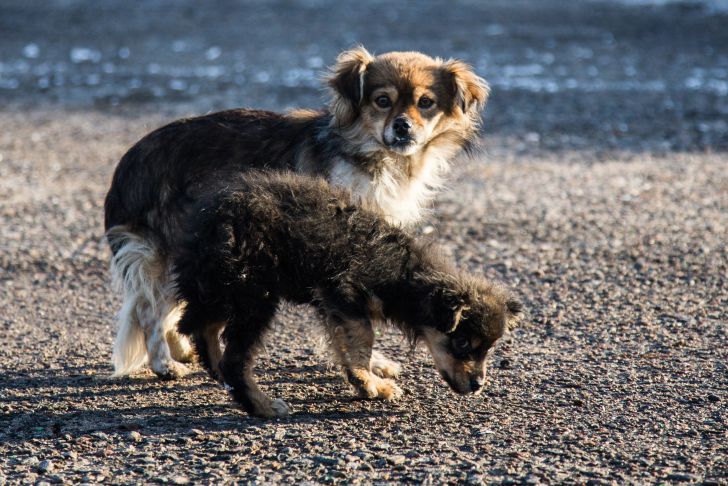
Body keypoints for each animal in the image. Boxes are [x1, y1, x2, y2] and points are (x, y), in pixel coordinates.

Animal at [104, 45, 490, 380]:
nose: (403, 127)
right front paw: (368, 364)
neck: (371, 157)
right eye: (382, 101)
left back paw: (182, 348)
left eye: (426, 103)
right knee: (148, 309)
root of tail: (126, 167)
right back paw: (164, 363)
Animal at [173, 173, 520, 420]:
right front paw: (370, 384)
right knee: (234, 359)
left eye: (489, 349)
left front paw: (363, 380)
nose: (478, 386)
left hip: (225, 289)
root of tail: (207, 224)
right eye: (462, 342)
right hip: (254, 296)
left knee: (202, 330)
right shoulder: (345, 293)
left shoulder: (333, 305)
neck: (403, 270)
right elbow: (363, 339)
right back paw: (263, 406)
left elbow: (343, 343)